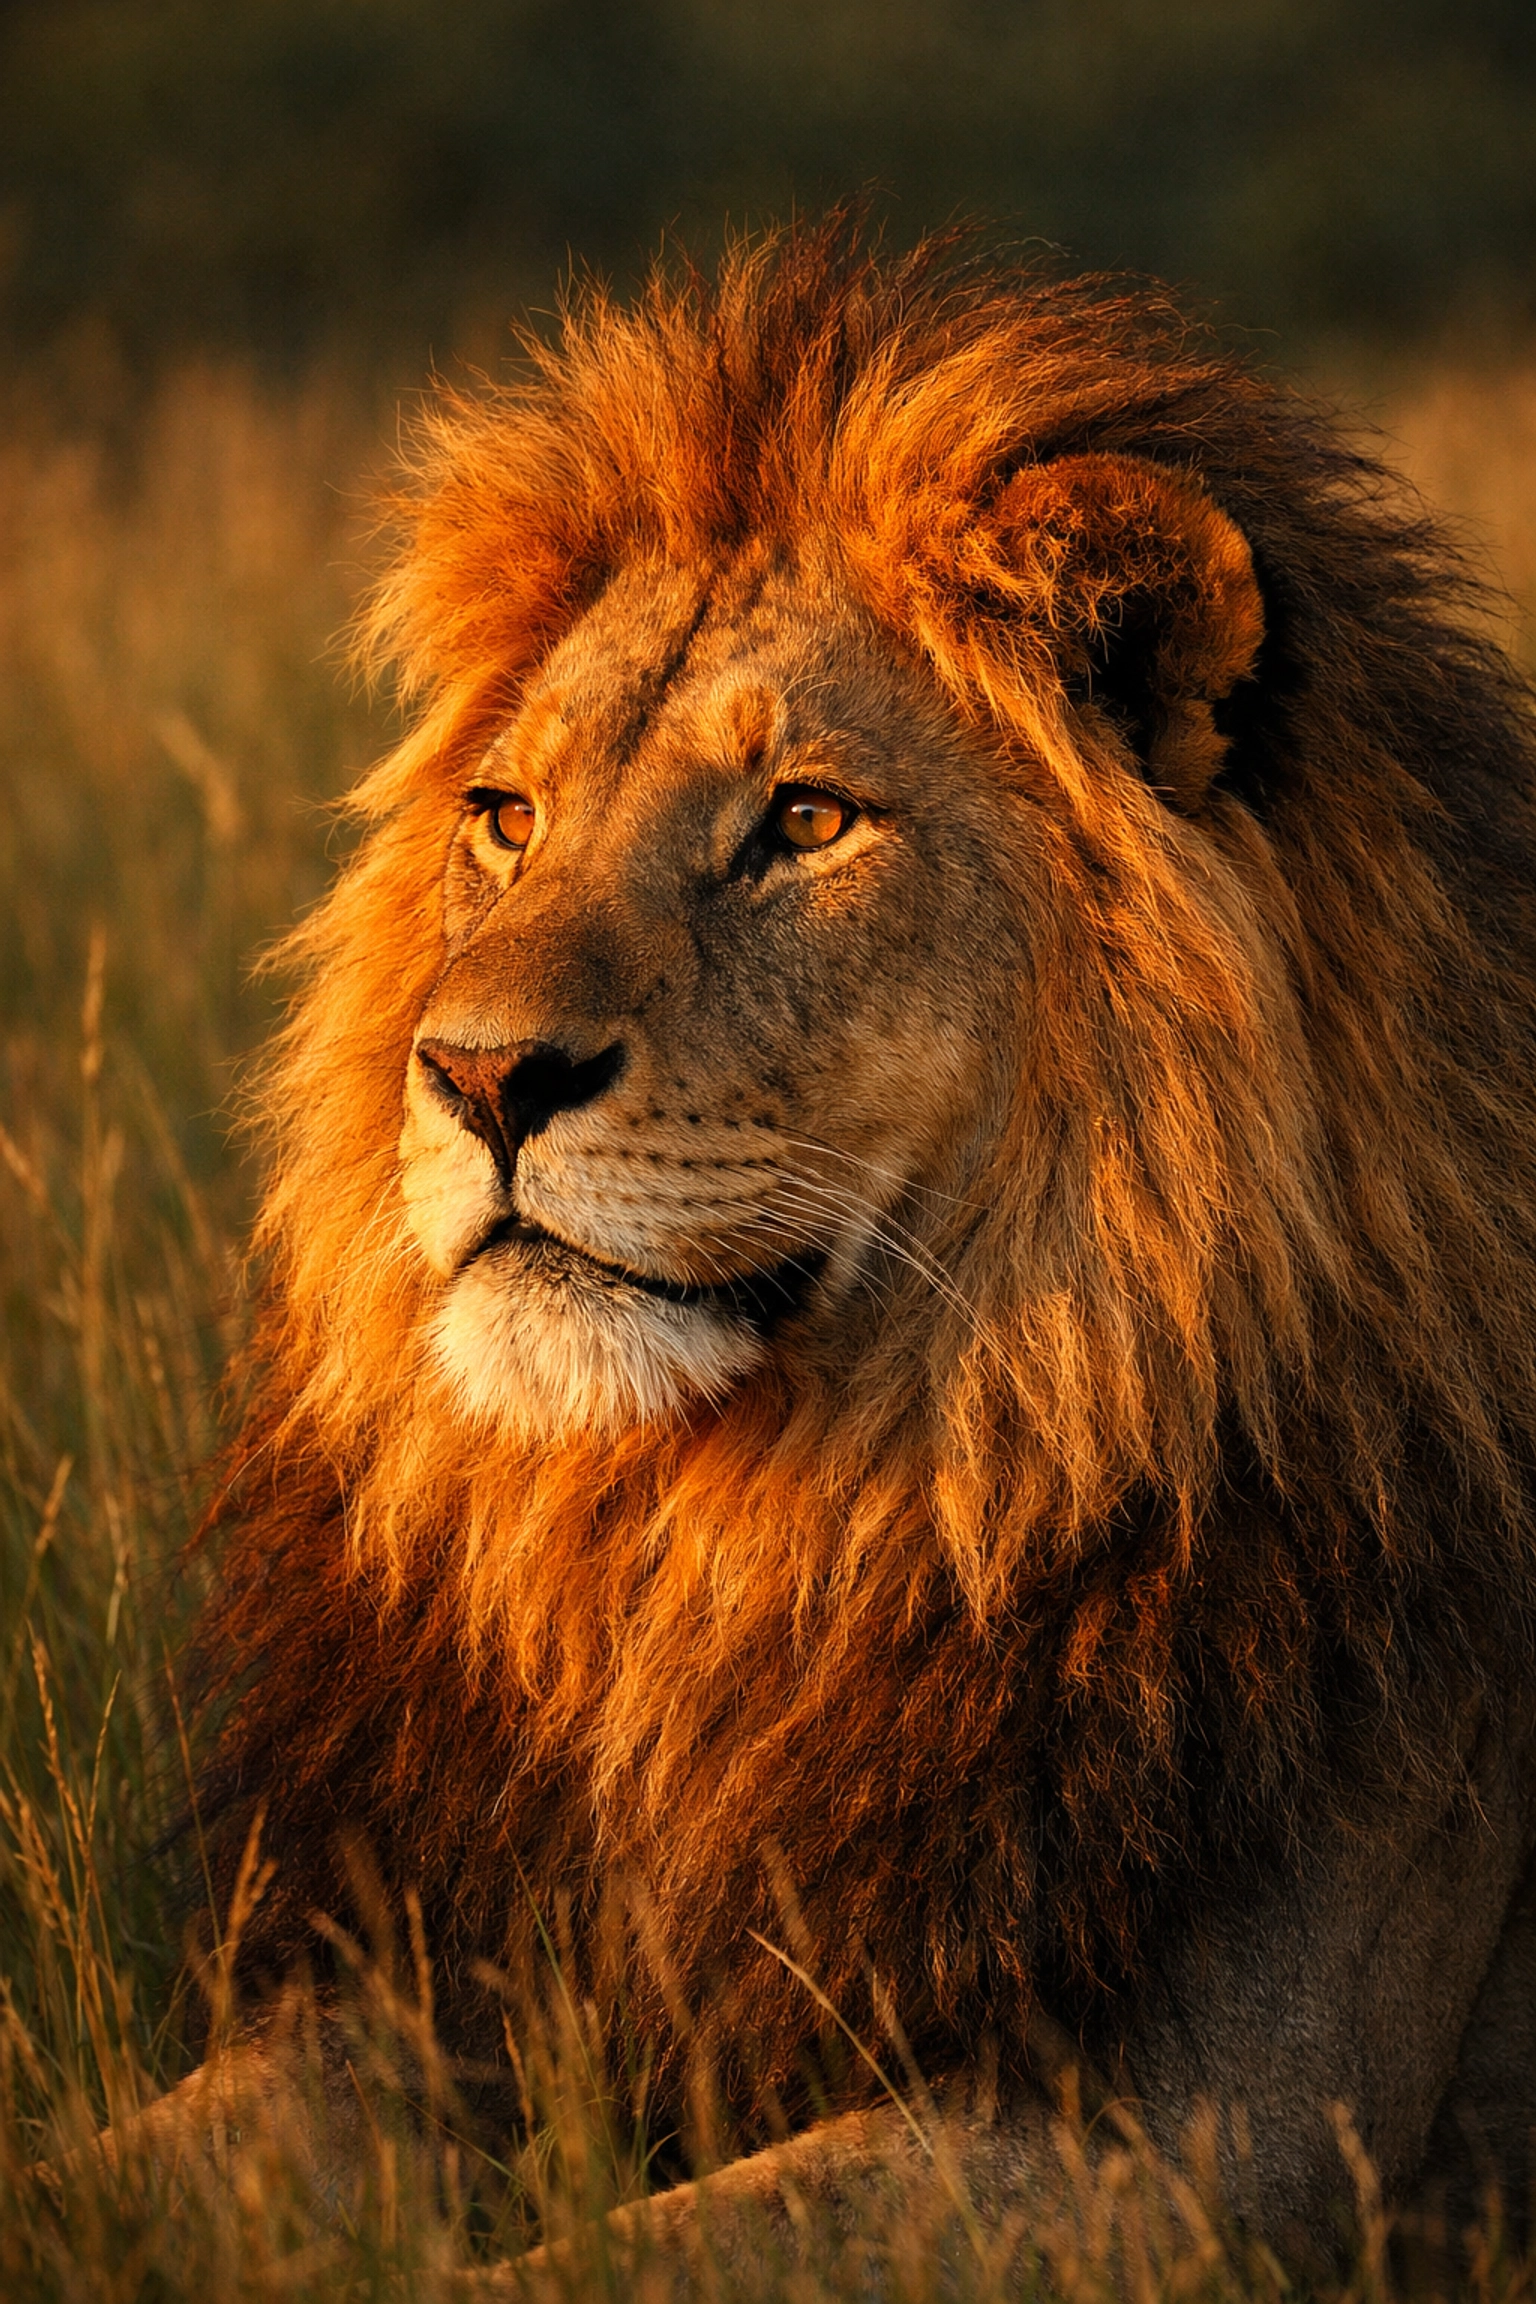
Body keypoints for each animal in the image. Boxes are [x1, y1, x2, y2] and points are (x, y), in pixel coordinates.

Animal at [134, 216, 1536, 2281]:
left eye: (803, 818)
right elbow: (135, 2154)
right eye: (507, 817)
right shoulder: (425, 1980)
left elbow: (619, 2257)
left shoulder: (1198, 2132)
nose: (473, 1072)